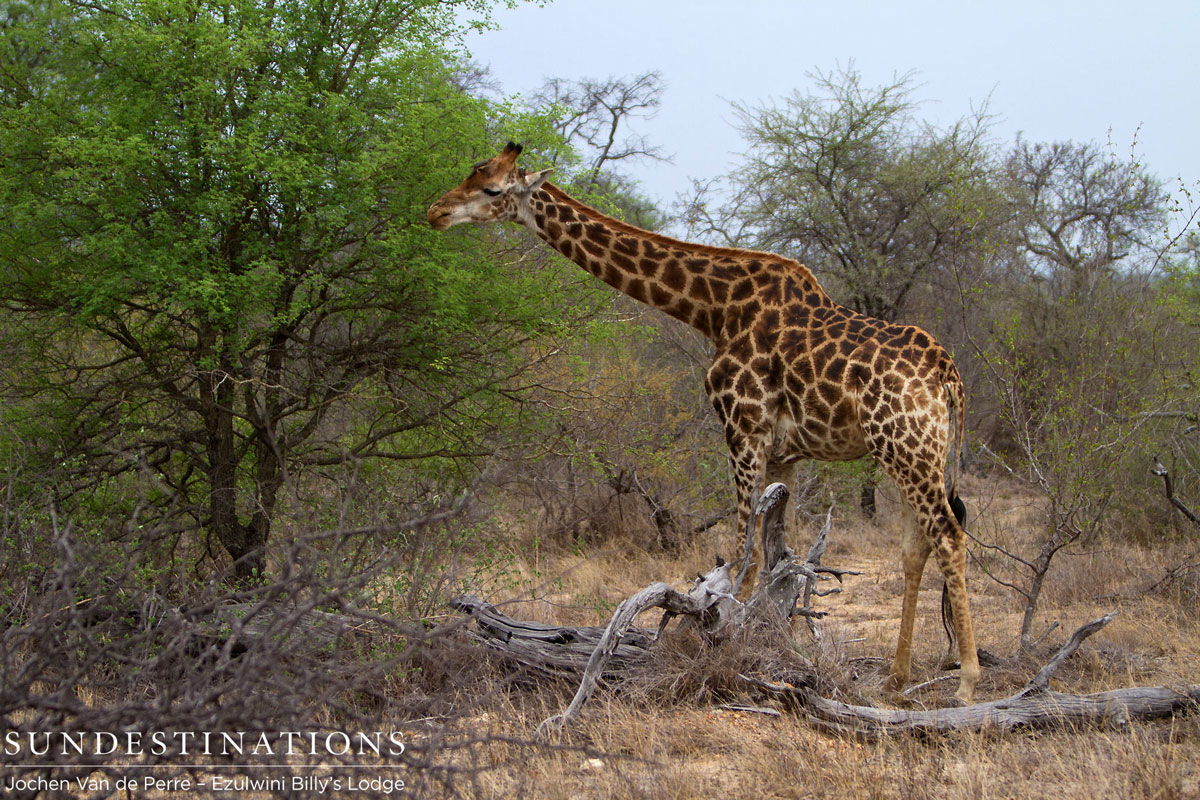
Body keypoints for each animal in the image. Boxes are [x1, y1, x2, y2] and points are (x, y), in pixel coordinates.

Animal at [427, 142, 980, 704]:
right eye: (473, 172)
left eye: (492, 188)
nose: (435, 212)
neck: (712, 309)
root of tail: (949, 374)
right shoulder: (785, 452)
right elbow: (778, 556)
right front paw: (776, 647)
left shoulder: (742, 428)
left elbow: (742, 553)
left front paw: (729, 649)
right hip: (911, 454)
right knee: (917, 546)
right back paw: (897, 679)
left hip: (905, 448)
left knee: (950, 537)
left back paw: (966, 684)